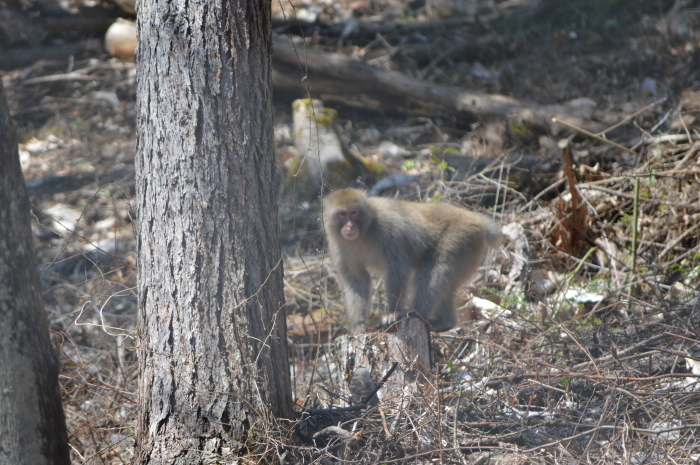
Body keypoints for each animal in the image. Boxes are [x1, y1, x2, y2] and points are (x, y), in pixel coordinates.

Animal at [326, 187, 500, 332]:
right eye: (342, 214)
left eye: (354, 212)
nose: (349, 226)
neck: (364, 232)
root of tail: (477, 219)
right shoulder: (338, 247)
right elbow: (357, 279)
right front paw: (359, 326)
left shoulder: (387, 231)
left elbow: (398, 269)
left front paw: (392, 313)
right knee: (447, 285)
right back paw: (445, 322)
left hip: (461, 238)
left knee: (435, 271)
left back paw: (416, 314)